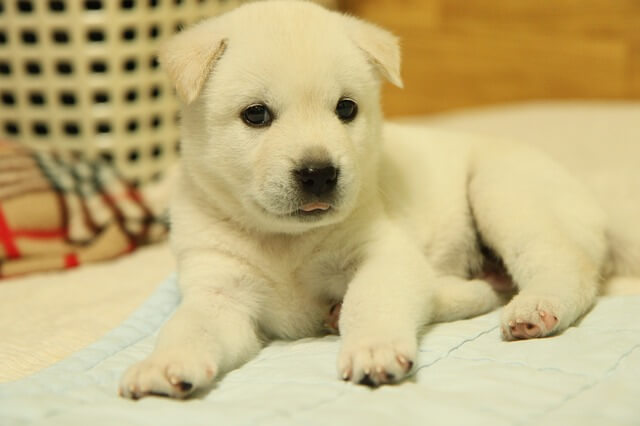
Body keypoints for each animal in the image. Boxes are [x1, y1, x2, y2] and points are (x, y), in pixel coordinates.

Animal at [119, 0, 636, 400]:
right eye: (256, 115)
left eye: (346, 108)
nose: (319, 173)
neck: (284, 241)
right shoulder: (219, 289)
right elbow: (189, 326)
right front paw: (163, 366)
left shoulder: (383, 254)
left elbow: (370, 302)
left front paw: (372, 351)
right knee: (486, 288)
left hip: (505, 191)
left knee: (564, 267)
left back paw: (536, 309)